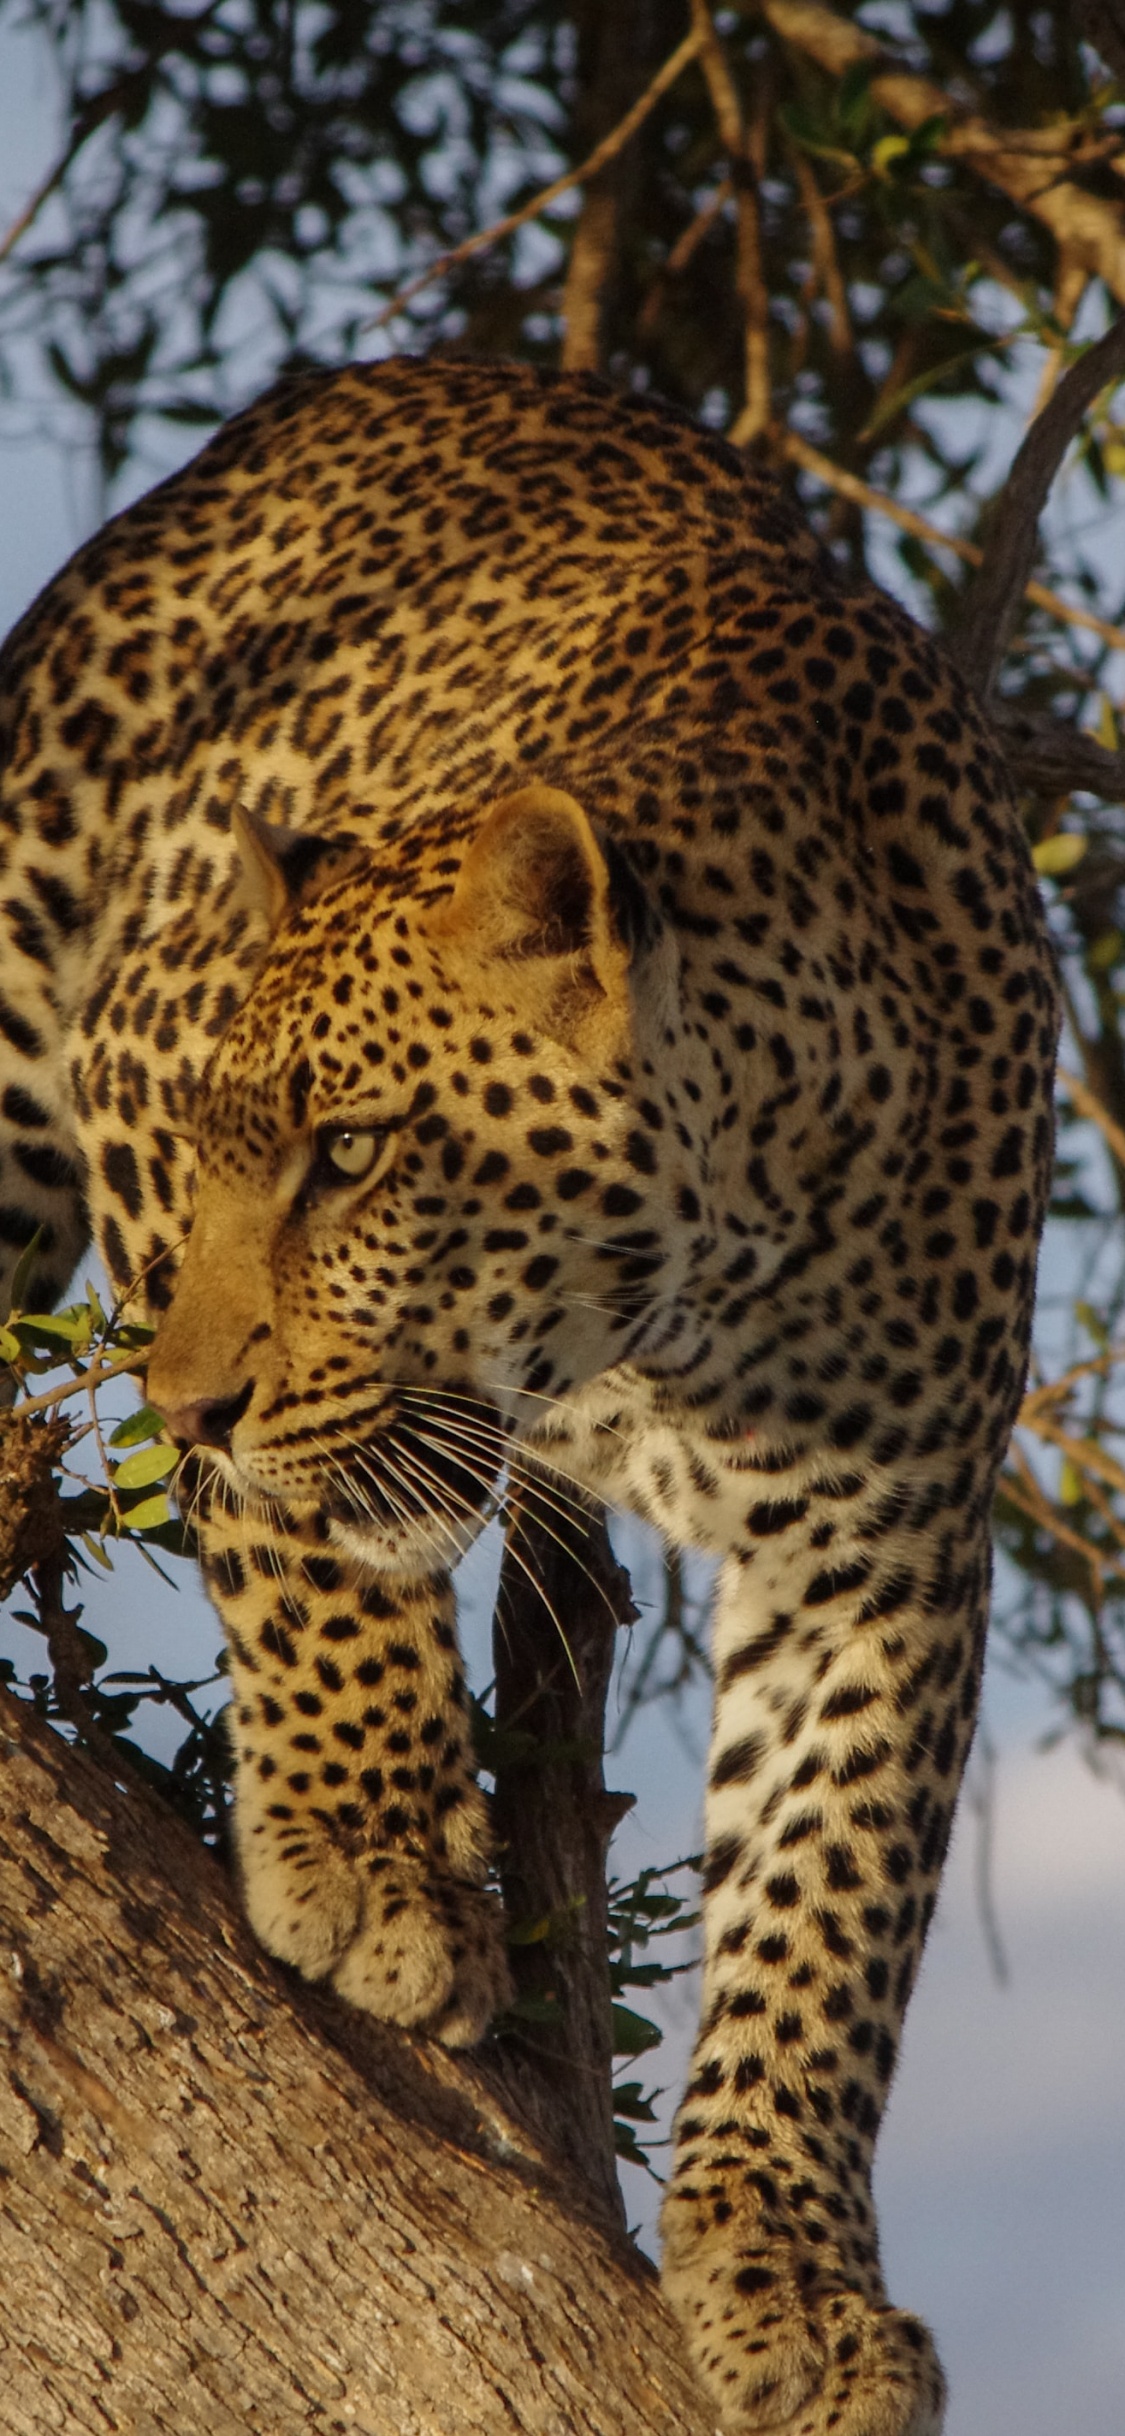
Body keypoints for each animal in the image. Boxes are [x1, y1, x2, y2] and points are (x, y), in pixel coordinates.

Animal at [0, 355, 1056, 2436]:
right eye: (237, 1149)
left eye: (348, 1156)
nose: (185, 1402)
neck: (690, 1299)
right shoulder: (137, 1050)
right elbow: (307, 1555)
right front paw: (370, 1854)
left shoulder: (889, 1540)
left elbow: (830, 1899)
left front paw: (793, 2280)